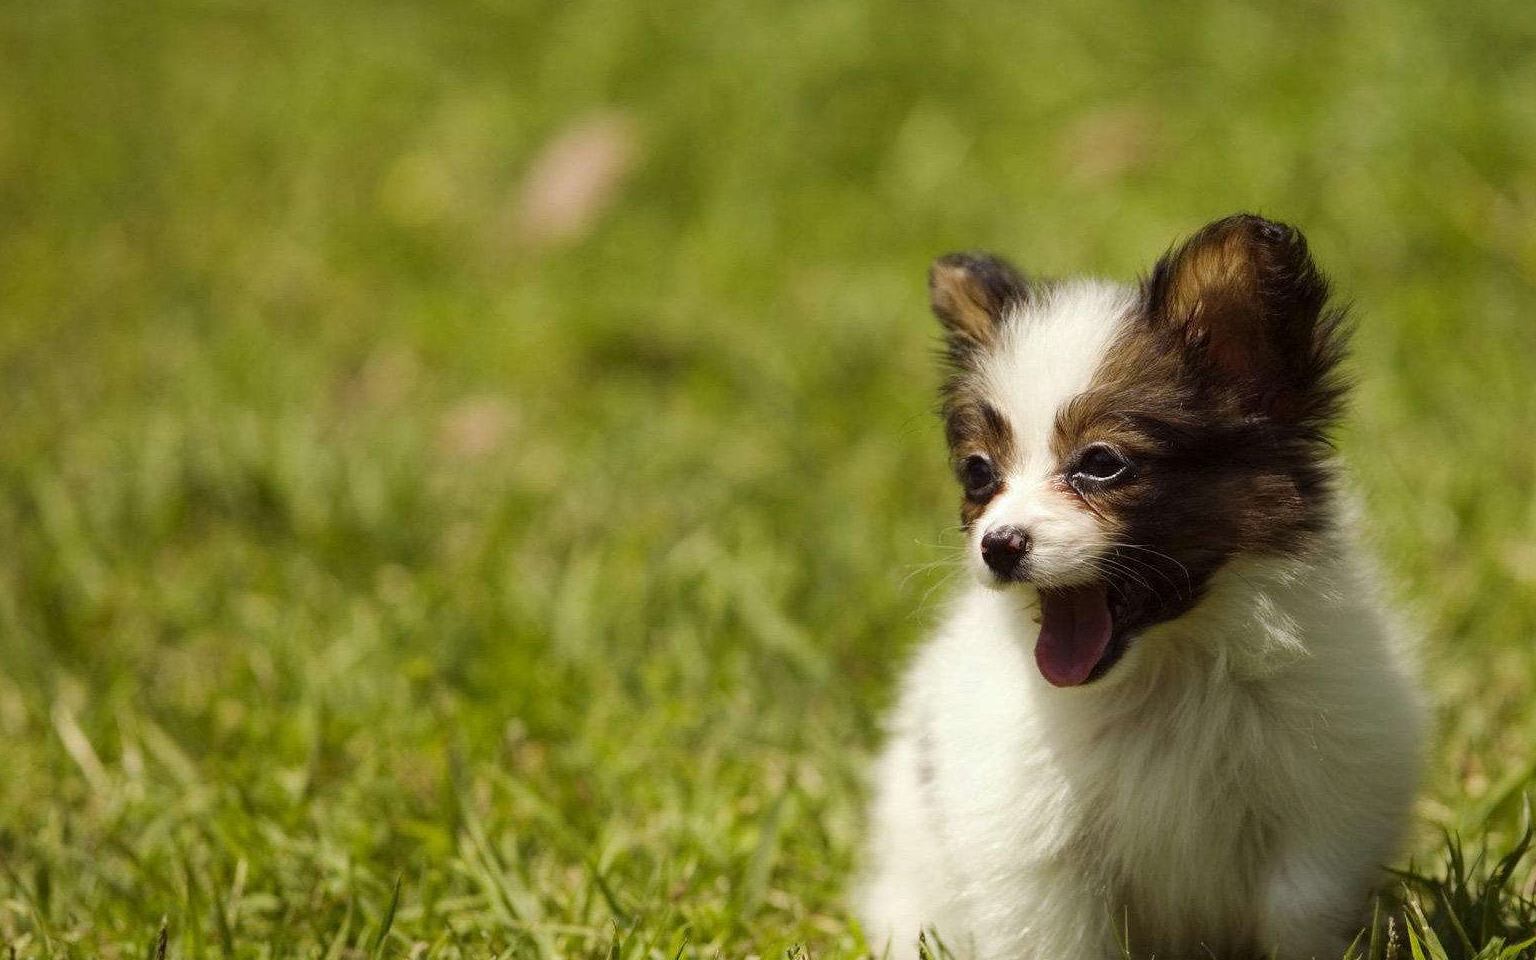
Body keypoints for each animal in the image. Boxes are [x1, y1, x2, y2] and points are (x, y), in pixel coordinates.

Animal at [860, 215, 1419, 958]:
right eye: (979, 474)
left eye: (1102, 464)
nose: (998, 545)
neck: (1163, 673)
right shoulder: (1034, 853)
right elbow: (1060, 937)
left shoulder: (1323, 812)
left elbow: (1299, 911)